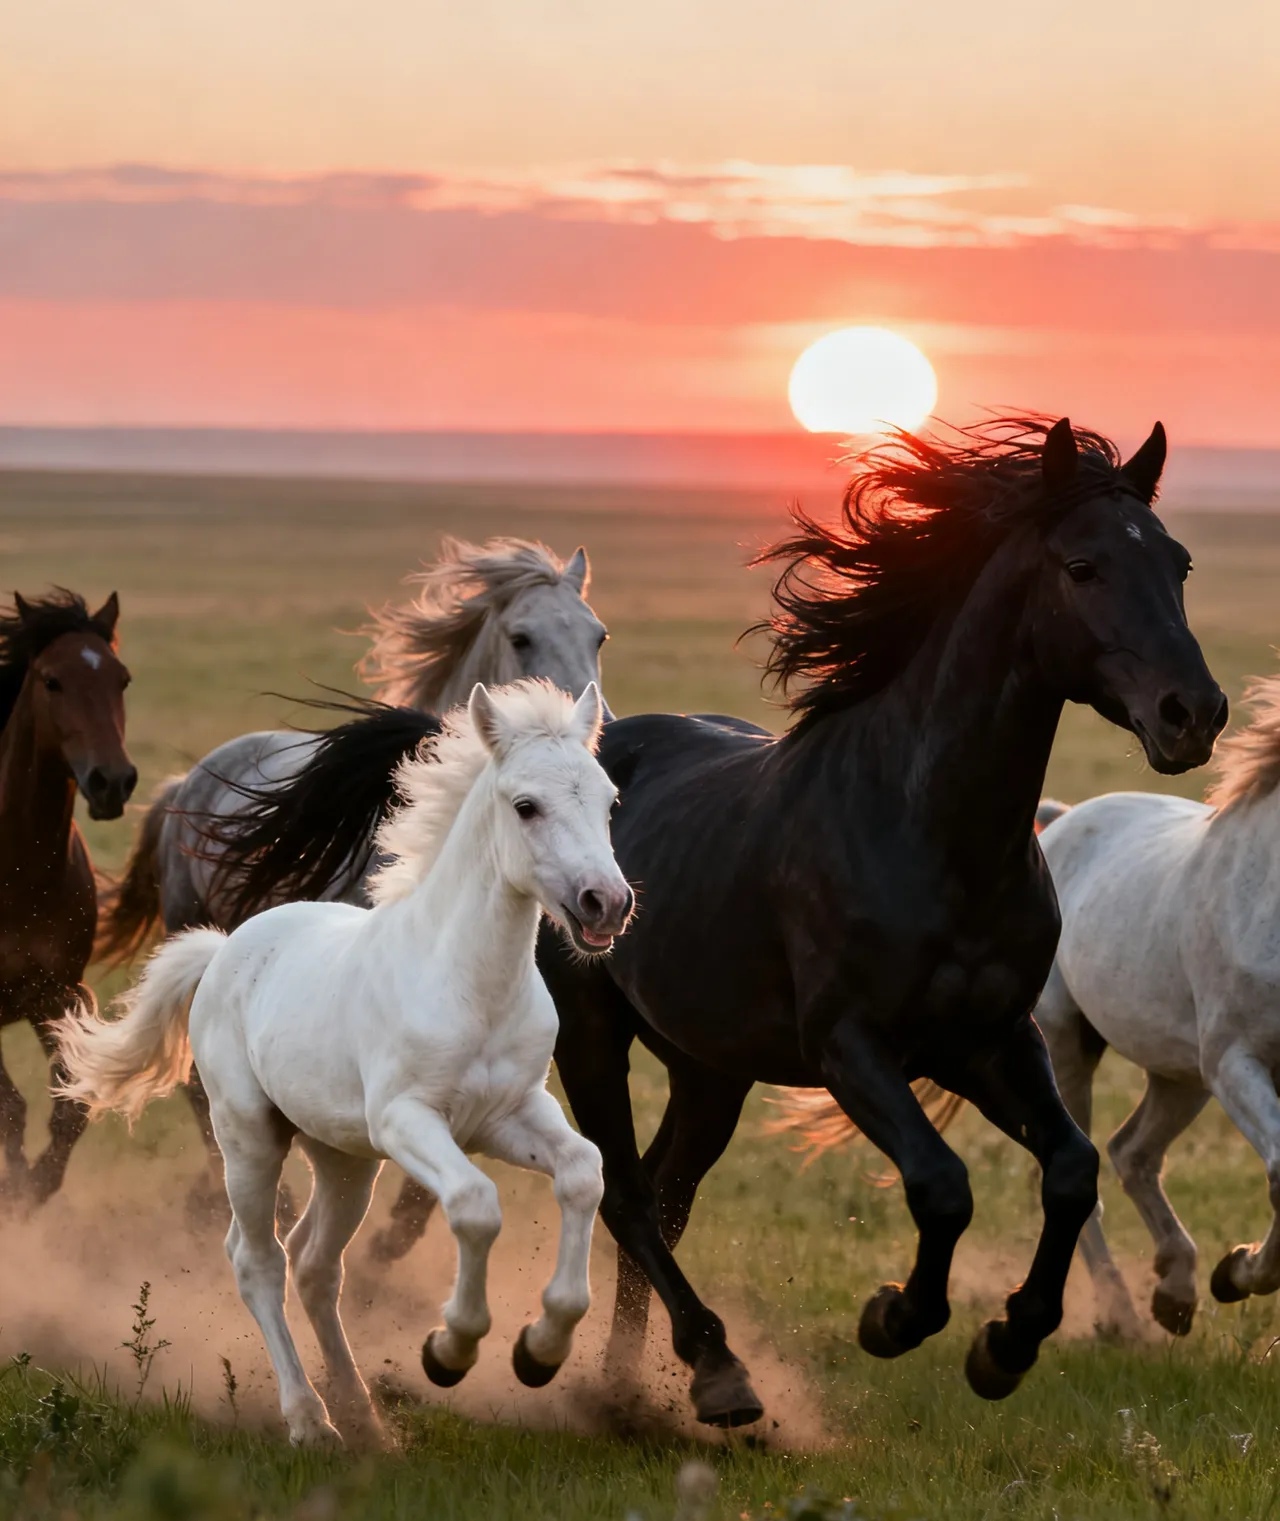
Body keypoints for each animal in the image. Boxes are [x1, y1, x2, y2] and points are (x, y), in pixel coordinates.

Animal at [56, 680, 631, 1448]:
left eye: (608, 801)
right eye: (526, 805)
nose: (607, 902)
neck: (469, 981)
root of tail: (223, 949)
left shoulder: (510, 1114)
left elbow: (583, 1171)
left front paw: (539, 1352)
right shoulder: (406, 1120)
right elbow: (475, 1205)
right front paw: (449, 1350)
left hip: (344, 1158)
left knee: (315, 1264)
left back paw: (362, 1415)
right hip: (250, 1136)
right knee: (258, 1259)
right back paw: (310, 1418)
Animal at [190, 415, 1229, 1429]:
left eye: (1178, 562)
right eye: (1084, 566)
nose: (1194, 713)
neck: (927, 829)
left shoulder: (991, 1037)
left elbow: (1072, 1167)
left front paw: (1007, 1344)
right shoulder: (853, 1047)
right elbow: (940, 1184)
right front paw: (897, 1317)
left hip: (709, 1066)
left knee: (662, 1191)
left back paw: (631, 1381)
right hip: (598, 1040)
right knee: (628, 1192)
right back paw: (709, 1369)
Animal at [1028, 673, 1280, 1340]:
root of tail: (1060, 820)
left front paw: (1230, 1272)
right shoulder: (1234, 1061)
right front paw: (1240, 1272)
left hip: (1180, 1075)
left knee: (1132, 1153)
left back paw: (1176, 1290)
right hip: (1068, 1048)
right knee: (1080, 1175)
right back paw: (1121, 1316)